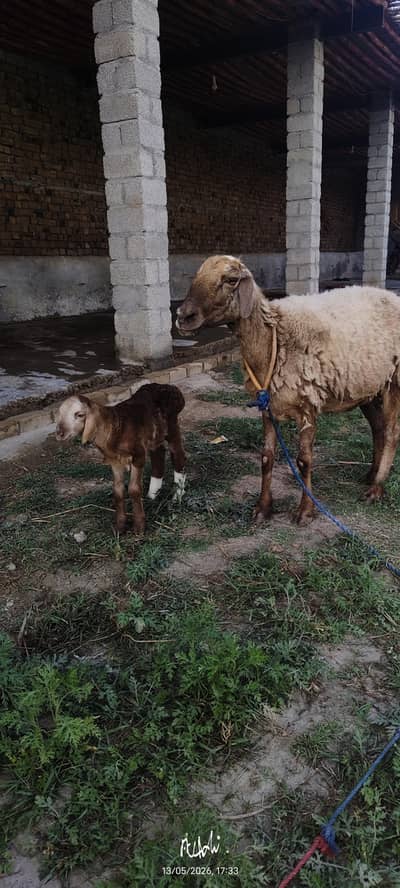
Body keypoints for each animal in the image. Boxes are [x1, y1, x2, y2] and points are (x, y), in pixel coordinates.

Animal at [55, 383, 186, 534]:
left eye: (80, 414)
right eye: (60, 414)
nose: (59, 433)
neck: (114, 427)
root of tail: (171, 387)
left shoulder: (138, 455)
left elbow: (134, 489)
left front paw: (139, 527)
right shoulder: (115, 460)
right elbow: (118, 490)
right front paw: (120, 527)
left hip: (172, 425)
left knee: (178, 455)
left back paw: (178, 496)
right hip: (155, 435)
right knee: (158, 454)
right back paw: (152, 495)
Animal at [176, 254, 400, 525]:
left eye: (230, 280)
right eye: (197, 276)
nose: (183, 316)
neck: (275, 338)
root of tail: (393, 297)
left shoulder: (308, 406)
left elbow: (303, 461)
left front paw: (305, 511)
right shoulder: (268, 406)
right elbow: (266, 457)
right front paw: (262, 508)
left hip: (394, 380)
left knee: (391, 433)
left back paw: (376, 488)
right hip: (367, 387)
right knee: (378, 428)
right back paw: (370, 475)